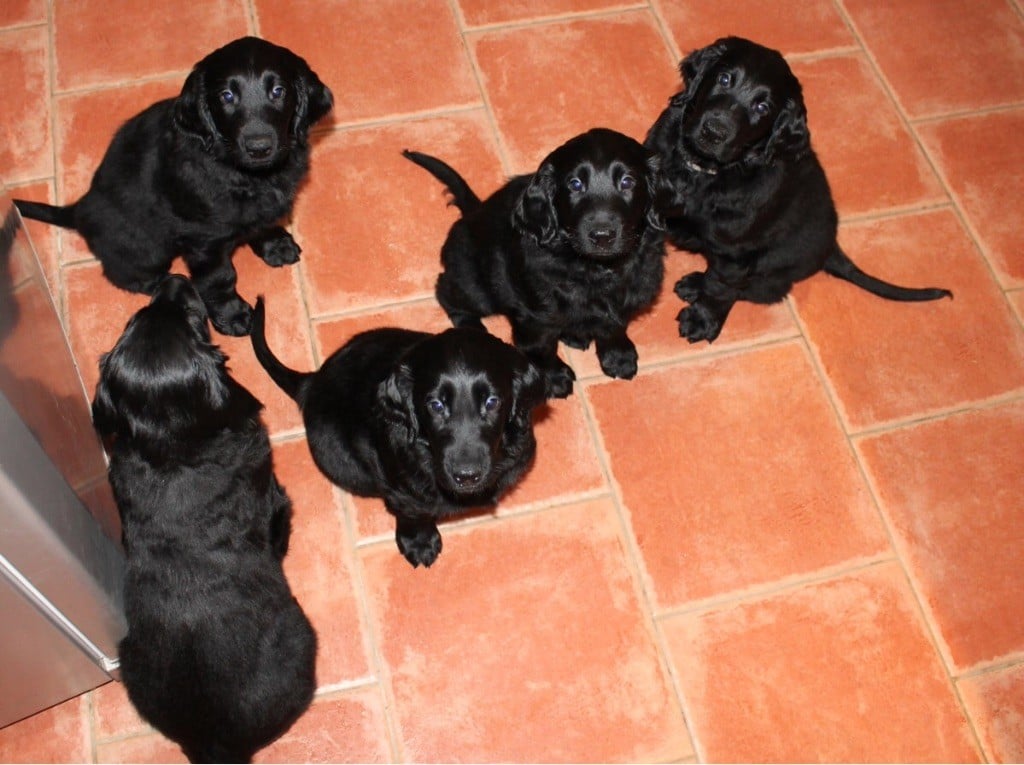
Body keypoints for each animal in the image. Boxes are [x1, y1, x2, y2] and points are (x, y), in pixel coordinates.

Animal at [14, 35, 331, 335]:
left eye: (278, 91)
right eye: (227, 96)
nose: (259, 148)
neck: (242, 171)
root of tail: (80, 208)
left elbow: (262, 222)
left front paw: (275, 244)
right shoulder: (204, 241)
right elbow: (220, 278)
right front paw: (233, 315)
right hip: (145, 248)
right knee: (124, 273)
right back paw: (169, 284)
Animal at [93, 276, 315, 765]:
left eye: (135, 317)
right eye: (194, 323)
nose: (175, 279)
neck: (171, 446)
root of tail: (213, 744)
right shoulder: (270, 496)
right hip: (302, 638)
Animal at [248, 299, 548, 569]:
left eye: (492, 402)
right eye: (435, 405)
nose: (466, 476)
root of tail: (312, 381)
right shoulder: (397, 483)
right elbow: (411, 511)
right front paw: (419, 543)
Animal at [399, 126, 671, 395]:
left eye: (628, 182)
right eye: (575, 184)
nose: (602, 236)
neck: (594, 268)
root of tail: (474, 211)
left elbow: (615, 326)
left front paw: (619, 356)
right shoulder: (534, 317)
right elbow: (541, 349)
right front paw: (554, 378)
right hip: (475, 286)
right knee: (446, 292)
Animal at [647, 38, 950, 344]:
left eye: (762, 107)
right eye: (724, 79)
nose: (713, 132)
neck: (702, 171)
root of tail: (831, 249)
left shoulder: (736, 255)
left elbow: (721, 288)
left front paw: (703, 320)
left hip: (770, 269)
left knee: (754, 289)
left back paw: (698, 285)